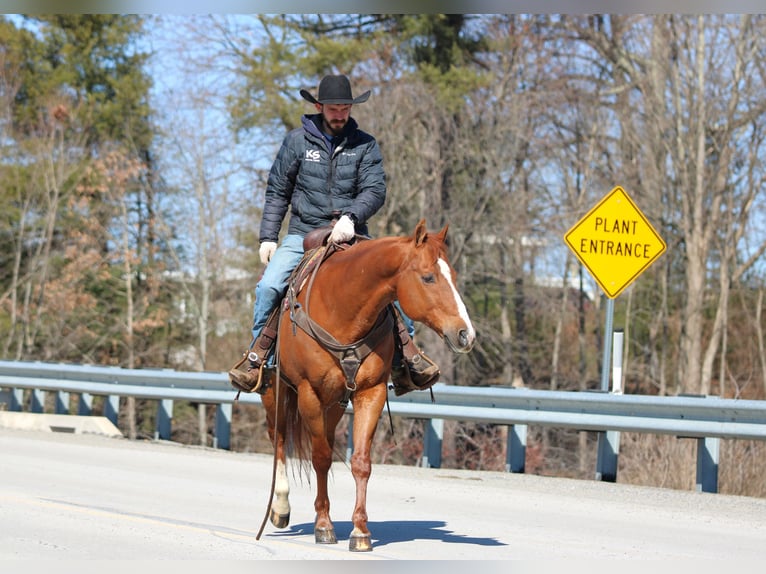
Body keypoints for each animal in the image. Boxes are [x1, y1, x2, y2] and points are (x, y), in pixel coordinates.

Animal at [257, 219, 475, 552]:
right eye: (428, 277)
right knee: (279, 439)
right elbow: (320, 458)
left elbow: (360, 462)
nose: (466, 334)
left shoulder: (370, 392)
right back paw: (280, 507)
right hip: (277, 392)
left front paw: (360, 531)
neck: (343, 309)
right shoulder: (309, 392)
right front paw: (324, 526)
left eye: (453, 275)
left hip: (334, 404)